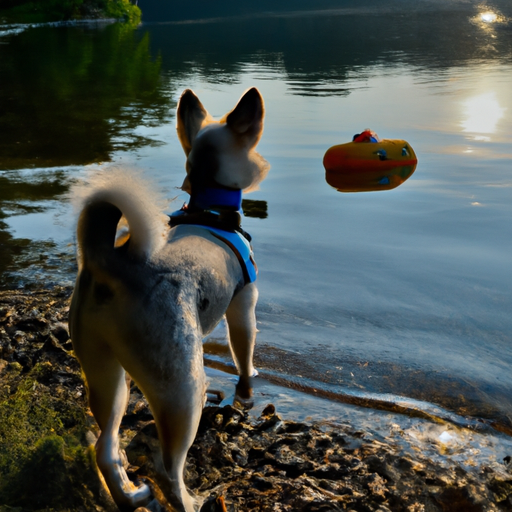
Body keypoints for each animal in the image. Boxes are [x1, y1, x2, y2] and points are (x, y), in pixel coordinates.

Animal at [69, 89, 272, 512]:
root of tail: (109, 261)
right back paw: (192, 500)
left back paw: (131, 495)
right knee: (167, 470)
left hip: (106, 377)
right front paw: (249, 388)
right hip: (183, 392)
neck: (210, 209)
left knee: (105, 450)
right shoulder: (244, 306)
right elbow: (244, 355)